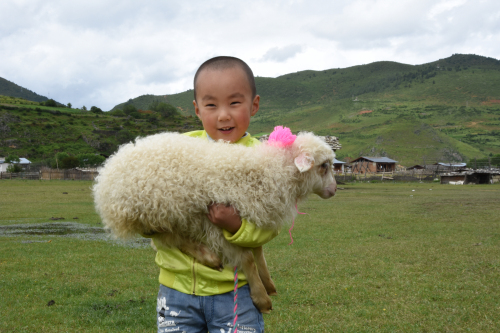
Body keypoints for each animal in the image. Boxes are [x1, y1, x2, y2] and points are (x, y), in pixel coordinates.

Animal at [92, 126, 338, 312]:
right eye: (324, 166)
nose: (334, 190)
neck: (269, 172)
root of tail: (106, 173)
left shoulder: (250, 214)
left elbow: (258, 250)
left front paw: (268, 283)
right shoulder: (216, 223)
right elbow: (247, 258)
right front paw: (262, 298)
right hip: (155, 213)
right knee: (168, 239)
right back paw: (209, 258)